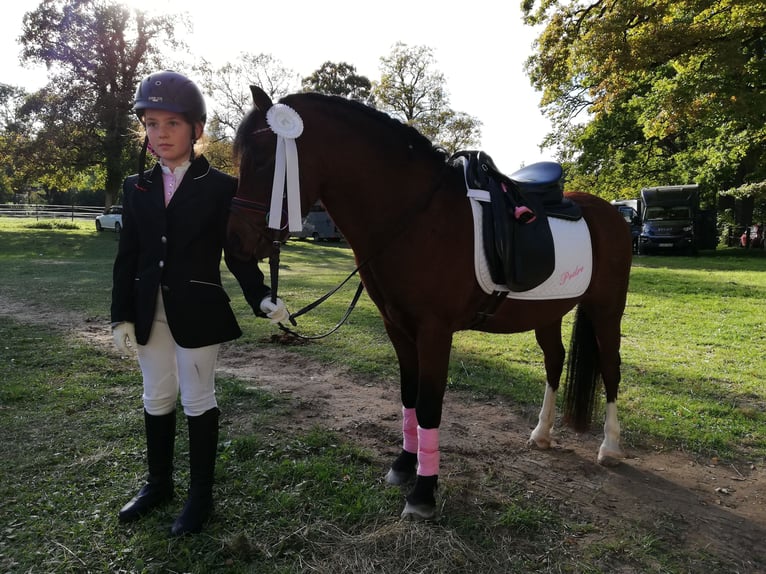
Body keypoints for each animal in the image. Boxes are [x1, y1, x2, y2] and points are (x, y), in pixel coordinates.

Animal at [228, 86, 633, 520]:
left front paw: (423, 492)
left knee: (610, 369)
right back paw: (542, 433)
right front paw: (405, 465)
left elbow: (428, 405)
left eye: (264, 158)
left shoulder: (435, 332)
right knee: (555, 361)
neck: (415, 217)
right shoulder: (398, 328)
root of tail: (609, 211)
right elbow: (408, 397)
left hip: (607, 309)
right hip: (548, 310)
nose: (235, 243)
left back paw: (610, 447)